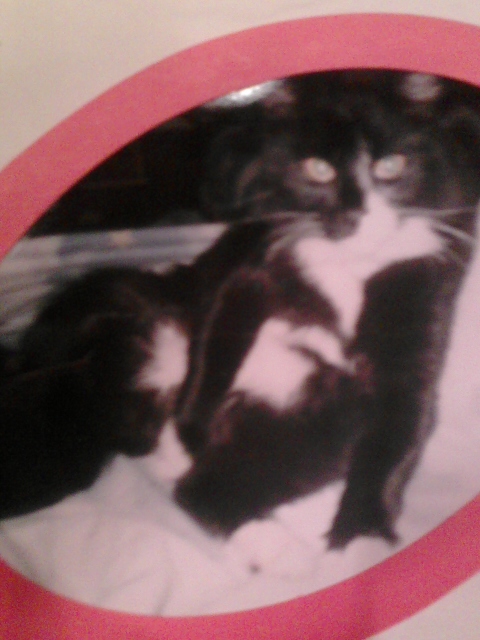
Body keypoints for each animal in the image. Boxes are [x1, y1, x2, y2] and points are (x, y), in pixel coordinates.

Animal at [1, 71, 479, 550]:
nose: (354, 215)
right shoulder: (252, 267)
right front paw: (192, 424)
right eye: (318, 169)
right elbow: (215, 342)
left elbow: (403, 420)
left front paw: (362, 532)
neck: (351, 265)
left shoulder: (422, 299)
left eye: (391, 166)